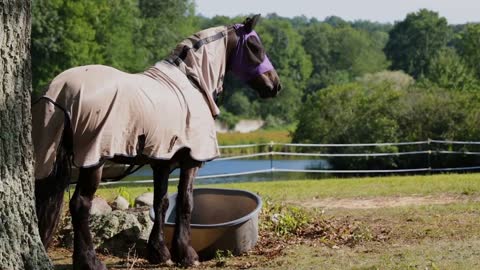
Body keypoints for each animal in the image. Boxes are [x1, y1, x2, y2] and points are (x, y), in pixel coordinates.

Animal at [32, 15, 282, 270]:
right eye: (255, 47)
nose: (275, 85)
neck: (192, 82)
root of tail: (60, 91)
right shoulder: (191, 161)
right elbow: (185, 203)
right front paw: (186, 254)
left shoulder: (162, 161)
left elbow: (160, 203)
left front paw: (159, 253)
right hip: (94, 159)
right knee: (80, 205)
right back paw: (90, 261)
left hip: (49, 158)